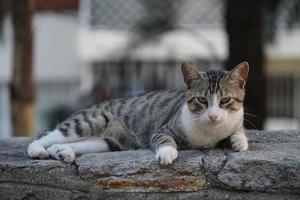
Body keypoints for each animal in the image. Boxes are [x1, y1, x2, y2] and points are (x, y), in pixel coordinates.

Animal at [27, 61, 248, 165]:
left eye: (225, 100)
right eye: (202, 100)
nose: (213, 116)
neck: (209, 132)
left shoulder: (235, 120)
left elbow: (238, 130)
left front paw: (239, 141)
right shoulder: (162, 129)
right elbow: (163, 139)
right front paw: (167, 152)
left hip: (110, 142)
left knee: (68, 143)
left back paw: (63, 152)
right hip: (93, 120)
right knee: (48, 136)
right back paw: (38, 150)